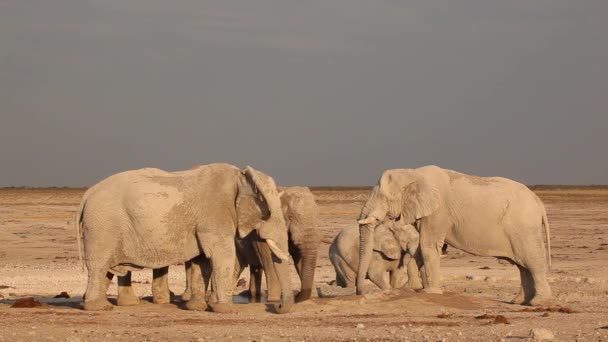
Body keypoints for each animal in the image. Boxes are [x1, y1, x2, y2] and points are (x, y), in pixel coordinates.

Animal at [76, 163, 294, 312]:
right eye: (269, 212)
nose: (277, 307)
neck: (240, 176)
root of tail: (87, 194)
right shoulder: (215, 214)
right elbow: (221, 255)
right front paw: (225, 309)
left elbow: (201, 260)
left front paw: (197, 307)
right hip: (102, 227)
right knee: (99, 266)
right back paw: (98, 308)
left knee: (106, 269)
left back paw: (104, 305)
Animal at [356, 166, 552, 308]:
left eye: (384, 197)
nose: (359, 293)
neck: (414, 173)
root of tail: (540, 203)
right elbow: (421, 248)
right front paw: (413, 289)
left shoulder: (438, 212)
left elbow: (428, 245)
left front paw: (430, 292)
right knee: (522, 266)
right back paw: (519, 302)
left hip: (524, 228)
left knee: (532, 261)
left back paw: (537, 303)